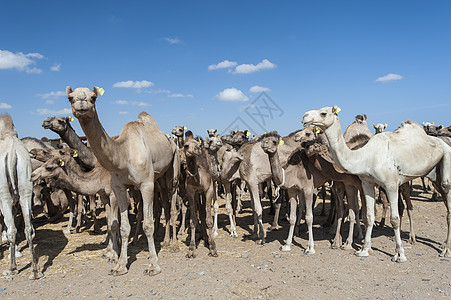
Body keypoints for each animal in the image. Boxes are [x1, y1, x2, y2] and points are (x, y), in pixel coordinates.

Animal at [0, 114, 42, 278]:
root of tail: (12, 154)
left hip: (4, 193)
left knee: (12, 229)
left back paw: (12, 268)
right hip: (25, 186)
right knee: (29, 229)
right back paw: (35, 271)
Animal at [67, 85, 180, 276]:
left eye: (93, 97)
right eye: (70, 97)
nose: (82, 103)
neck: (124, 154)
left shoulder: (146, 184)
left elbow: (148, 225)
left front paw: (153, 266)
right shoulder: (119, 187)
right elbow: (122, 226)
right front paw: (120, 265)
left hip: (172, 171)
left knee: (171, 205)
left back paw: (173, 245)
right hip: (159, 179)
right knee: (164, 204)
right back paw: (165, 242)